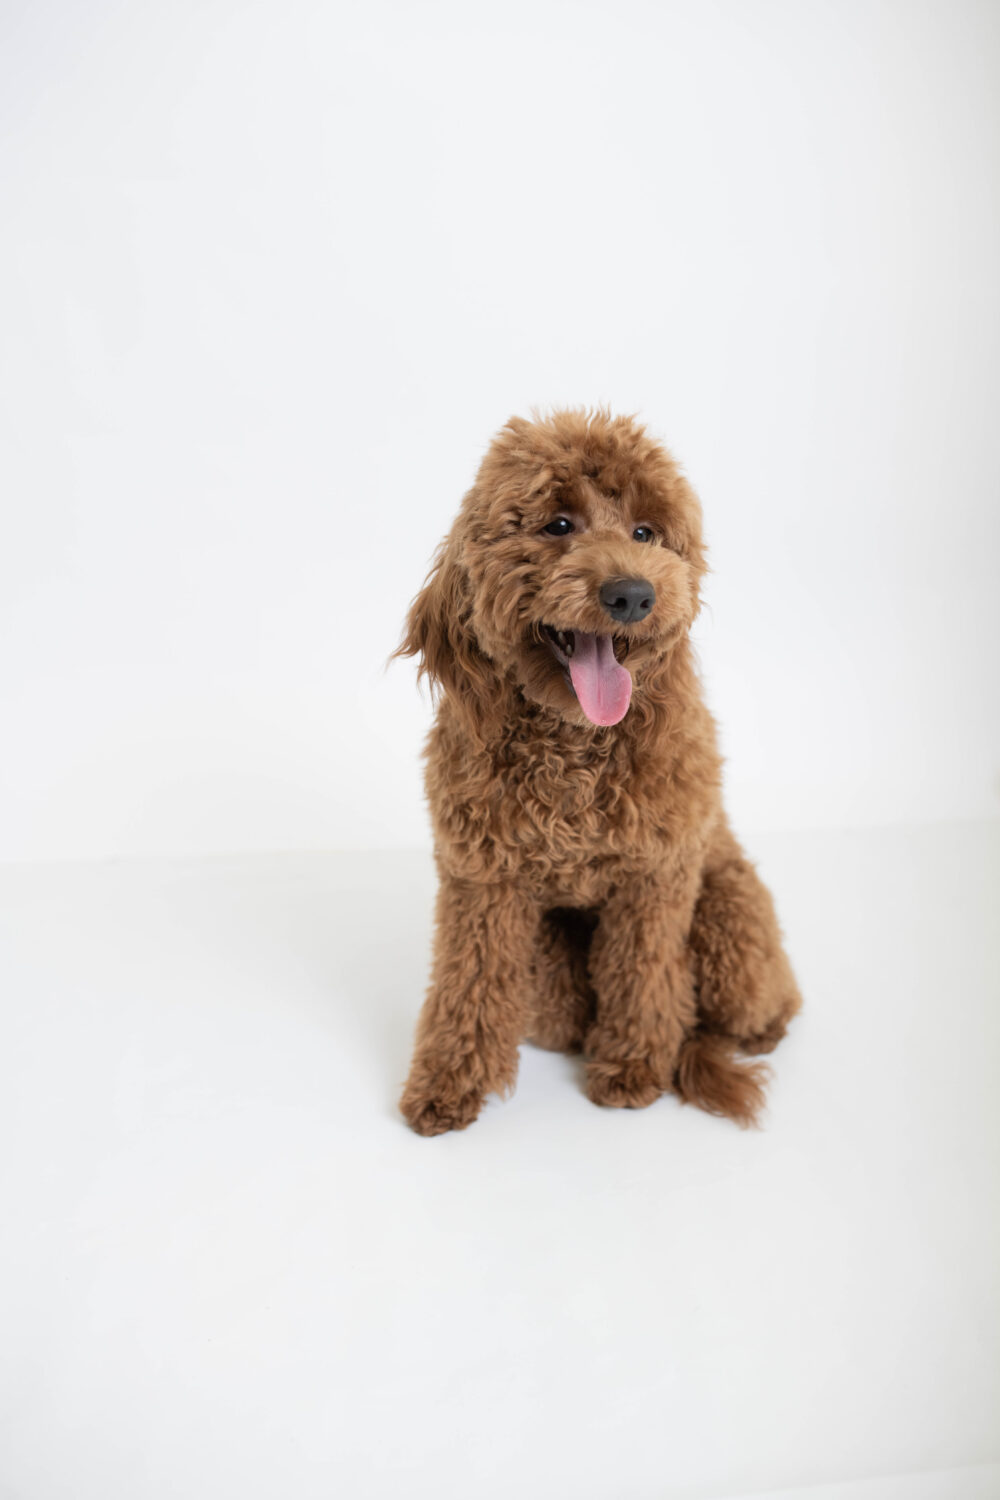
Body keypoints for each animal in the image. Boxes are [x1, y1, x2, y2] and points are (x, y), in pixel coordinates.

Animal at [395, 409, 801, 1135]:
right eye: (559, 524)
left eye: (645, 533)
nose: (633, 594)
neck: (575, 748)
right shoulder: (482, 881)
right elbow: (468, 986)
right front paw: (446, 1085)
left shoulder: (655, 879)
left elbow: (643, 976)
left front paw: (634, 1068)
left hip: (733, 919)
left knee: (754, 1006)